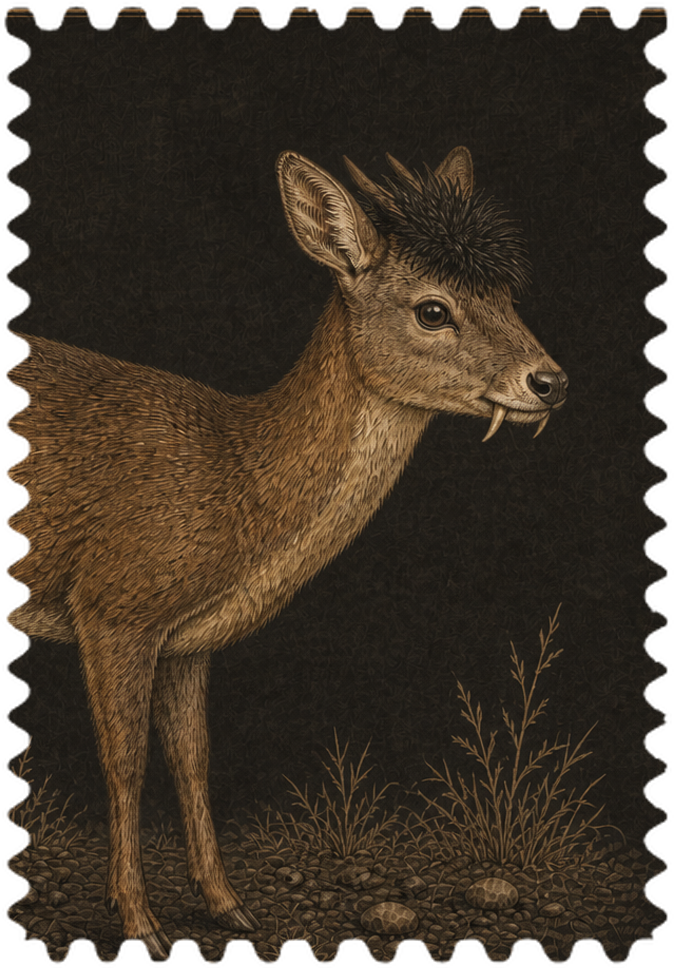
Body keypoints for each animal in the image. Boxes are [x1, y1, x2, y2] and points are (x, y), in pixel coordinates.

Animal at [0, 146, 567, 959]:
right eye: (433, 308)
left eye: (508, 293)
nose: (550, 381)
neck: (234, 481)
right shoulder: (112, 604)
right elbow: (124, 763)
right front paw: (141, 927)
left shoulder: (188, 641)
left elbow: (194, 761)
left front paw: (226, 905)